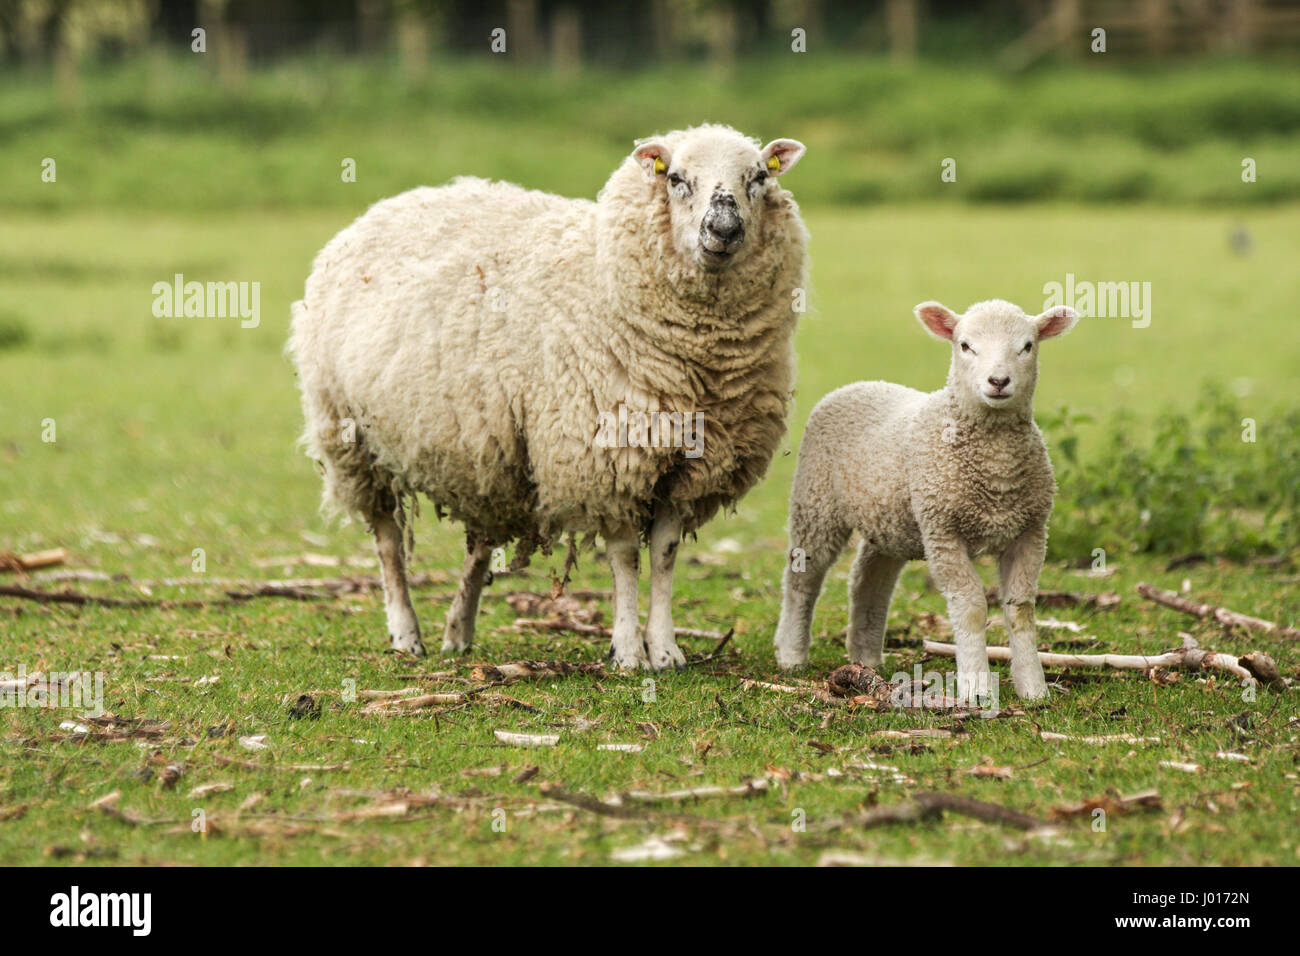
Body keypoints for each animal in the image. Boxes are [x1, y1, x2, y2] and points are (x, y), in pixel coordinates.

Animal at [288, 124, 809, 671]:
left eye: (758, 177)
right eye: (677, 179)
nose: (724, 229)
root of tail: (387, 205)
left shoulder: (689, 466)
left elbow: (665, 554)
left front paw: (665, 650)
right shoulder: (607, 458)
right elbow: (625, 556)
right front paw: (628, 652)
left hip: (486, 452)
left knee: (479, 544)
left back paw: (458, 630)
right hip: (351, 439)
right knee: (388, 541)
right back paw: (406, 634)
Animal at [772, 298, 1079, 701]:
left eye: (1027, 346)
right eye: (965, 345)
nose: (998, 382)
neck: (995, 466)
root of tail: (859, 383)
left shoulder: (1030, 531)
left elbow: (1021, 609)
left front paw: (1033, 687)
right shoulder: (942, 530)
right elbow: (971, 606)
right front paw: (977, 686)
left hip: (890, 519)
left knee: (869, 579)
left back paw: (866, 657)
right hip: (816, 501)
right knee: (803, 578)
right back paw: (791, 654)